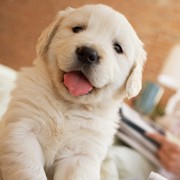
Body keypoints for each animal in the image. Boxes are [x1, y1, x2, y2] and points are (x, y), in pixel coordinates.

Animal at [0, 3, 146, 180]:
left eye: (117, 48)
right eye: (77, 29)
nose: (88, 53)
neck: (67, 105)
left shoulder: (81, 153)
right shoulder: (24, 131)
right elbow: (30, 170)